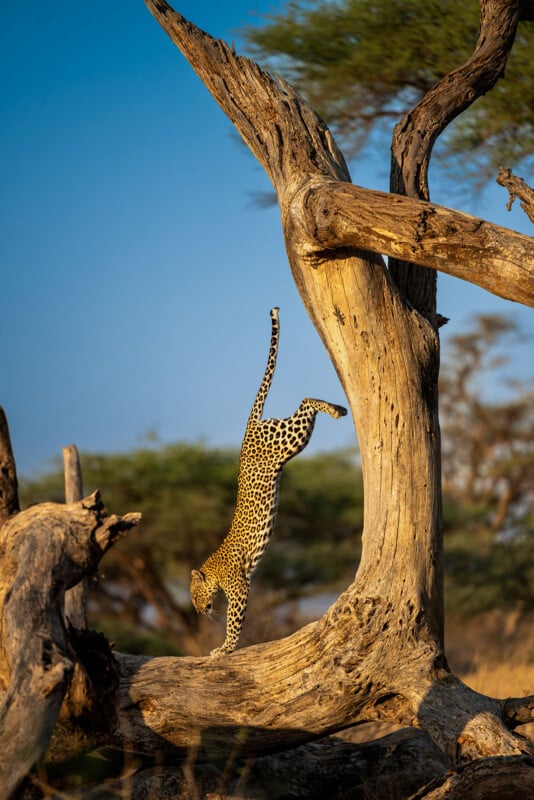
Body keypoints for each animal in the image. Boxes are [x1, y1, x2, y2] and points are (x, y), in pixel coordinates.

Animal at [190, 307, 347, 656]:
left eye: (194, 596)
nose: (198, 612)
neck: (214, 568)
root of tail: (249, 428)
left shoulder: (239, 587)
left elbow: (234, 622)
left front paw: (224, 649)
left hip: (286, 439)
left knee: (304, 400)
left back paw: (335, 410)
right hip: (289, 442)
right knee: (302, 404)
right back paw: (340, 407)